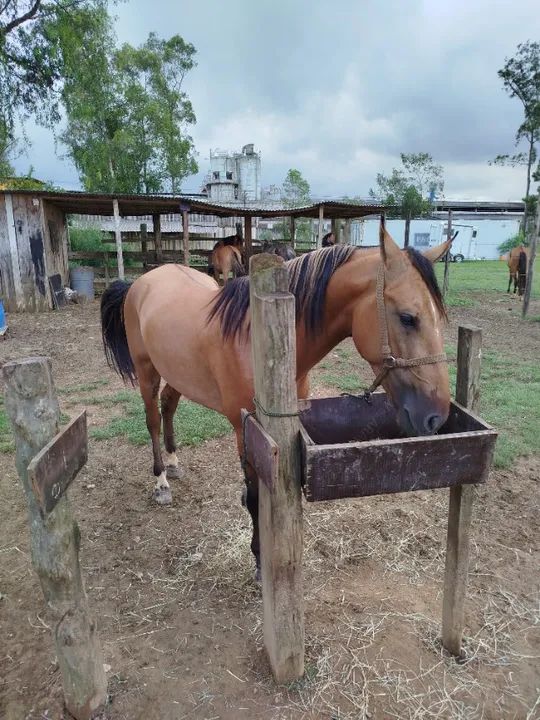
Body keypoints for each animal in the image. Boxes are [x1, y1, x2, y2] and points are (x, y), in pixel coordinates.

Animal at [100, 218, 451, 578]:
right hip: (147, 372)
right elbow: (255, 498)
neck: (258, 340)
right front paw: (259, 559)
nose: (436, 416)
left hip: (177, 373)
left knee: (168, 406)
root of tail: (141, 282)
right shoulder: (247, 432)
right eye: (408, 318)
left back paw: (173, 464)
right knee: (153, 420)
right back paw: (160, 481)